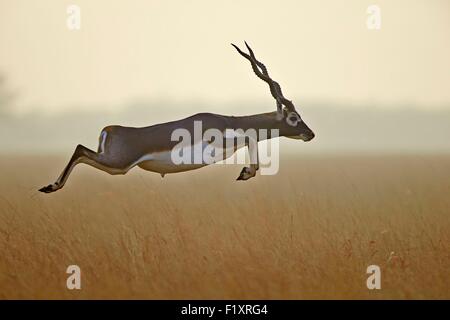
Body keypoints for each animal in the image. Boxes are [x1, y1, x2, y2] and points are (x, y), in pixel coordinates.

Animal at [38, 41, 314, 194]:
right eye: (293, 116)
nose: (310, 134)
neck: (229, 121)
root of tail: (109, 130)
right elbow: (250, 138)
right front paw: (245, 172)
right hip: (118, 163)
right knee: (79, 149)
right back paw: (51, 186)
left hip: (116, 166)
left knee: (82, 151)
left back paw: (49, 187)